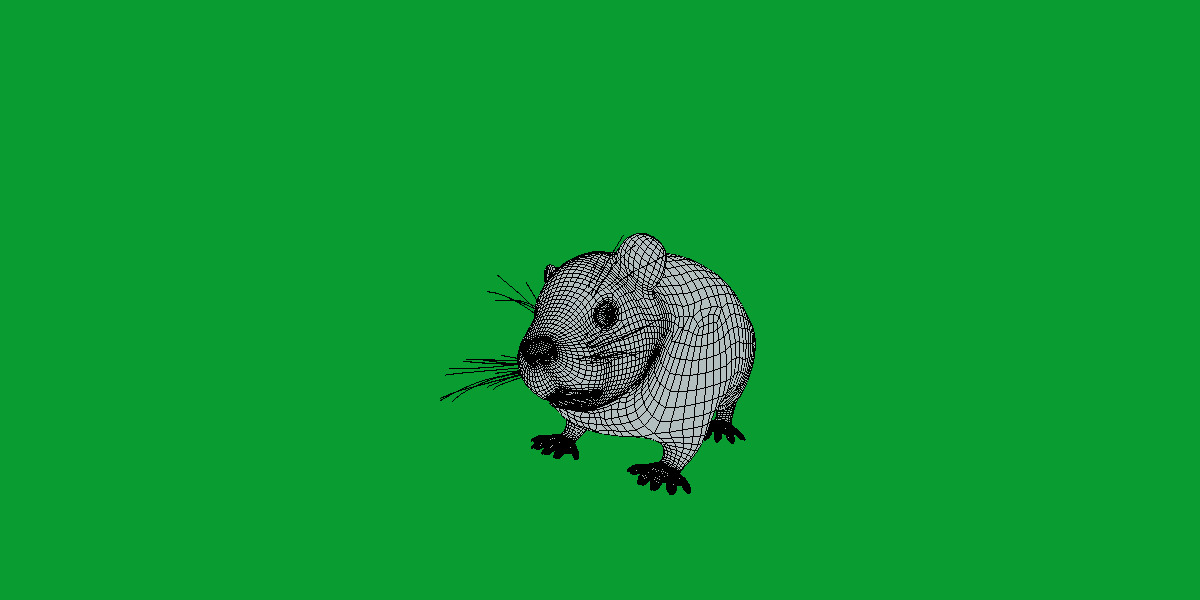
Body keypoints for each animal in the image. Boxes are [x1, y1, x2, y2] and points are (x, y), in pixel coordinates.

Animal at [520, 233, 755, 494]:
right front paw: (560, 440)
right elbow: (572, 426)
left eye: (607, 313)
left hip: (737, 382)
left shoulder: (690, 415)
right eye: (536, 309)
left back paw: (722, 427)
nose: (535, 350)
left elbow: (681, 451)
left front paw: (661, 473)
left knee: (727, 406)